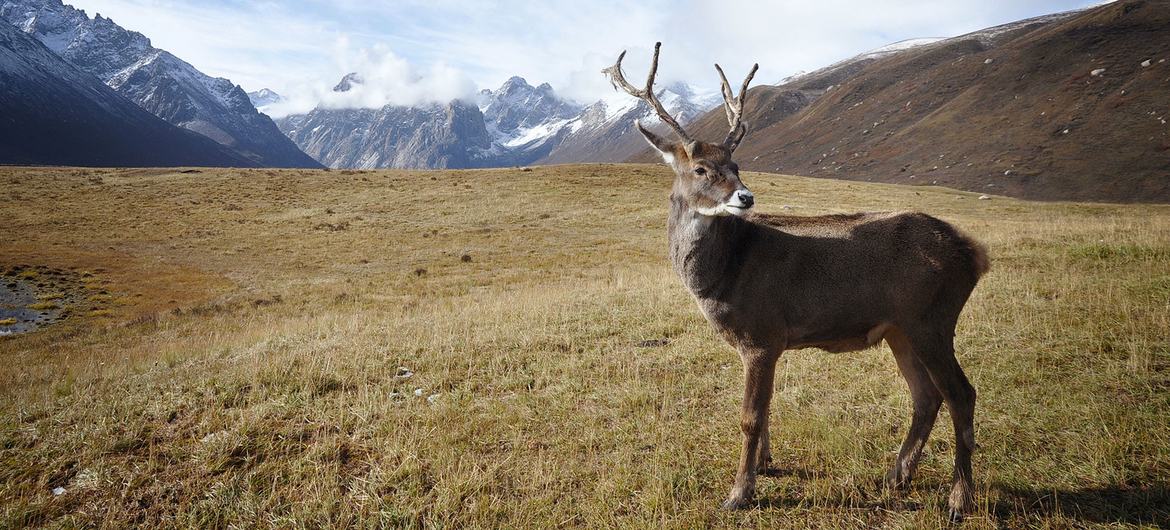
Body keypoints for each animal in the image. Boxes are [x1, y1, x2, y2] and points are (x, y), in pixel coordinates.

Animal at [608, 42, 992, 519]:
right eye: (700, 169)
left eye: (736, 163)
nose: (746, 196)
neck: (724, 275)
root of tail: (974, 253)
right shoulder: (766, 343)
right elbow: (766, 408)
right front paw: (765, 465)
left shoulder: (761, 333)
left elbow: (750, 416)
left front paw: (739, 493)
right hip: (901, 328)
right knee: (927, 396)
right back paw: (895, 477)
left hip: (932, 318)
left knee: (961, 393)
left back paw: (959, 499)